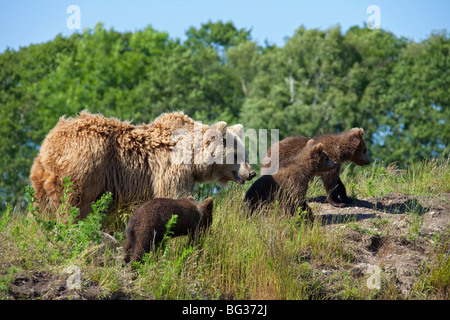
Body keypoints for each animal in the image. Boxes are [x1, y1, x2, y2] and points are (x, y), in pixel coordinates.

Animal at [30, 111, 256, 219]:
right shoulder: (171, 168)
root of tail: (50, 143)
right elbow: (174, 193)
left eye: (246, 153)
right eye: (237, 154)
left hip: (40, 174)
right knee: (74, 201)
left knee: (41, 206)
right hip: (86, 163)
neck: (192, 157)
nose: (251, 173)